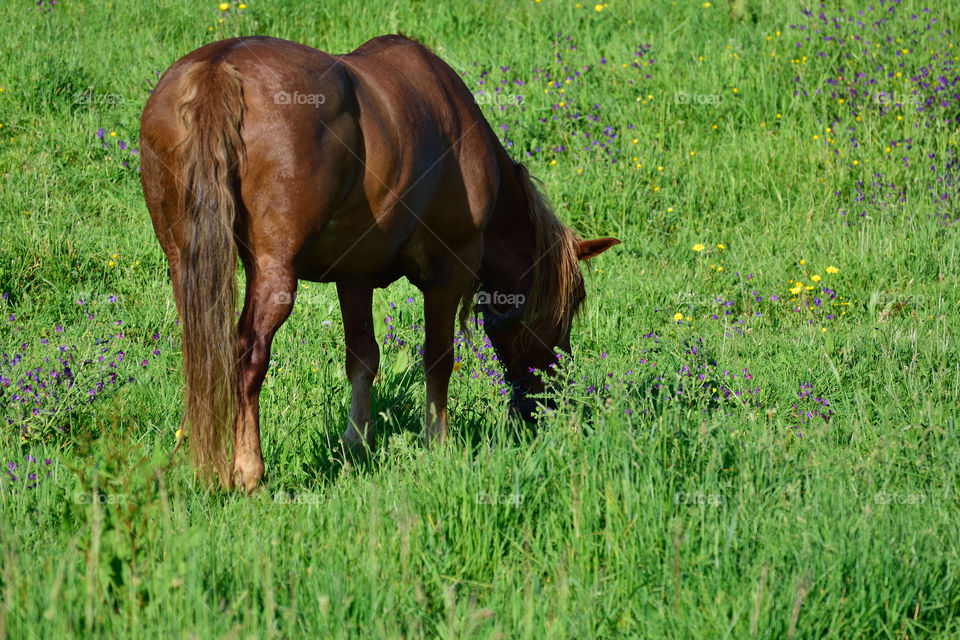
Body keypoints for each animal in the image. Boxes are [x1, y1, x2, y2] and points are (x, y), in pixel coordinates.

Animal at [141, 35, 624, 490]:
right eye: (570, 306)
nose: (553, 402)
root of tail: (218, 68)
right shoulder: (450, 272)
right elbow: (438, 358)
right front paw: (438, 442)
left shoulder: (353, 276)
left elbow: (362, 358)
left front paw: (357, 441)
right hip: (274, 272)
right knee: (247, 355)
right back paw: (248, 471)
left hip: (186, 266)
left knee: (202, 353)